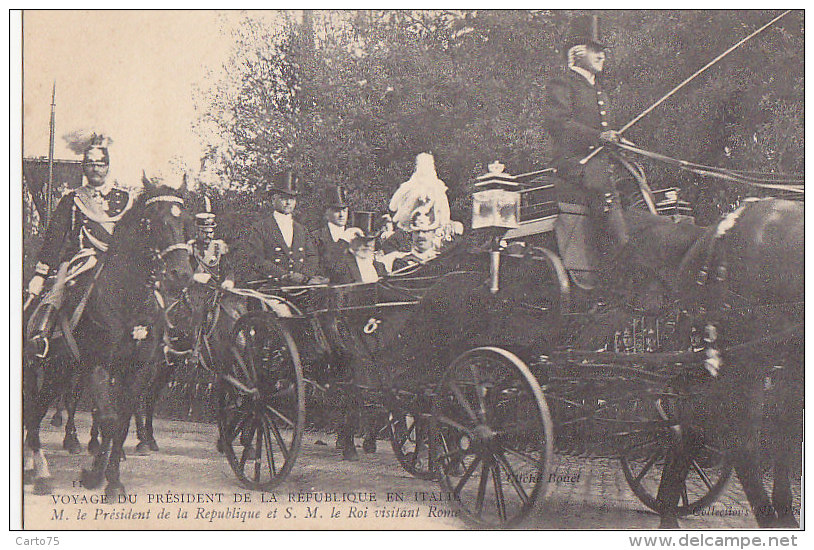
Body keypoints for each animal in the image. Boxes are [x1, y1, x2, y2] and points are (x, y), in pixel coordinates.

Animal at [22, 182, 194, 500]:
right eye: (152, 221)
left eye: (185, 222)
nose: (181, 274)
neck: (128, 299)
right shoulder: (97, 366)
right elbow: (109, 420)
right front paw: (94, 476)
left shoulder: (137, 371)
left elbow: (121, 424)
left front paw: (111, 480)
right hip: (36, 369)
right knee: (32, 411)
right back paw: (41, 474)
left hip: (59, 373)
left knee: (38, 410)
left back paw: (33, 468)